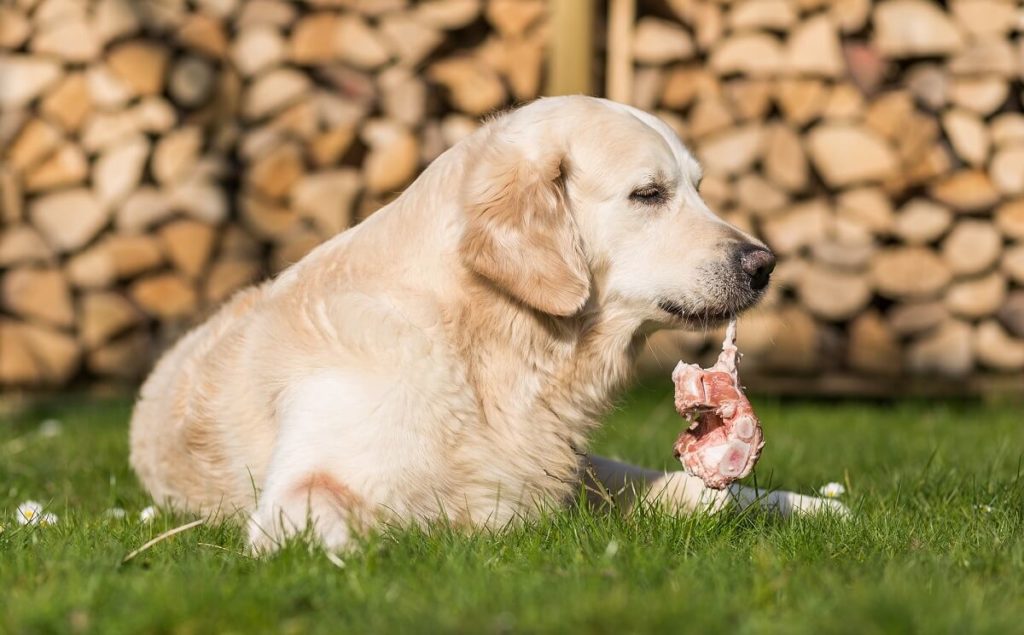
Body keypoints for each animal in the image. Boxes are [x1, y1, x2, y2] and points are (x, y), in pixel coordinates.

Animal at [130, 96, 847, 553]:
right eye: (649, 194)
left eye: (698, 187)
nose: (765, 264)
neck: (487, 346)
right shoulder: (300, 487)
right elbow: (336, 516)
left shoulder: (559, 473)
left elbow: (702, 495)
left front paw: (808, 507)